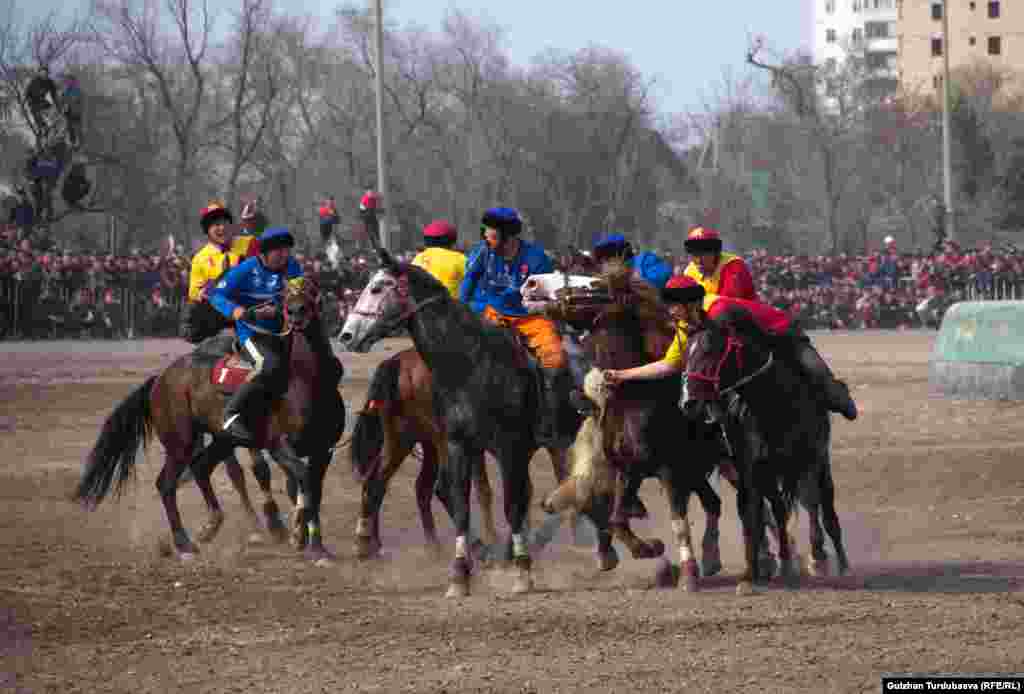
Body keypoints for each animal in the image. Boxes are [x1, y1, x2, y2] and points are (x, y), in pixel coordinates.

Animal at [75, 280, 346, 560]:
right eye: (285, 298)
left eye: (312, 289)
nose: (296, 312)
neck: (306, 382)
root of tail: (161, 378)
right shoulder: (279, 446)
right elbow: (302, 479)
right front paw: (301, 535)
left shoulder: (323, 451)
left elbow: (313, 488)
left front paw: (316, 546)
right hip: (180, 442)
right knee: (166, 484)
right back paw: (184, 543)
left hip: (222, 439)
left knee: (201, 467)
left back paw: (212, 525)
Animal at [679, 317, 847, 593]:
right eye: (685, 354)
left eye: (709, 351)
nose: (688, 402)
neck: (773, 402)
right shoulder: (752, 468)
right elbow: (753, 513)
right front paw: (751, 575)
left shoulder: (808, 459)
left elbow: (811, 502)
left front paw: (818, 559)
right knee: (779, 507)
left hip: (819, 461)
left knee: (824, 504)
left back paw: (838, 562)